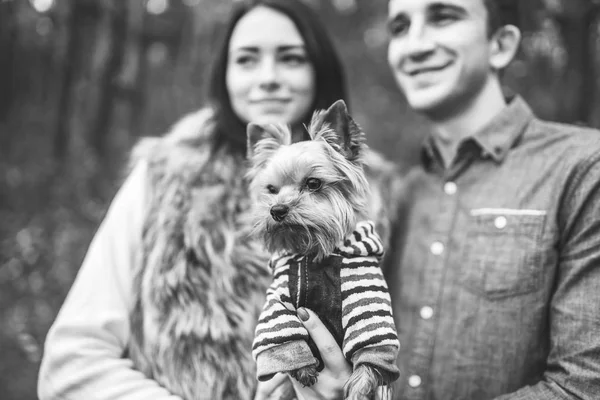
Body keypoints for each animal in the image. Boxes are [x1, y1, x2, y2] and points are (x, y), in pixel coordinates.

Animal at [244, 99, 398, 396]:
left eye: (313, 183)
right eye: (271, 189)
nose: (276, 210)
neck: (313, 252)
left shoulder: (366, 294)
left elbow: (371, 342)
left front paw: (362, 385)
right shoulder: (278, 301)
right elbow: (282, 336)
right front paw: (301, 367)